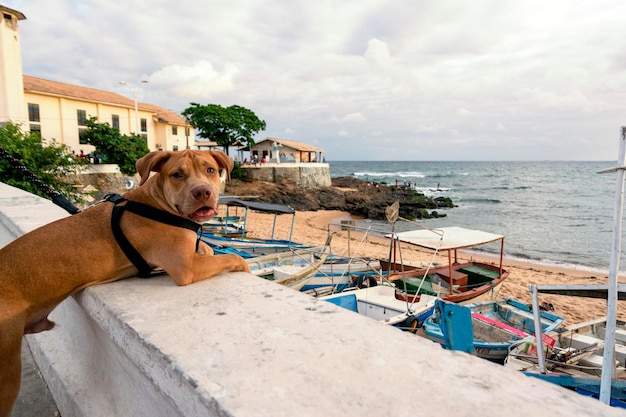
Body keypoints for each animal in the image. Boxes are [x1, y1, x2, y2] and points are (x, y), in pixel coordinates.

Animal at [0, 148, 249, 414]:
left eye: (210, 170)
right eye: (177, 175)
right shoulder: (187, 267)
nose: (202, 192)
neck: (158, 204)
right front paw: (244, 266)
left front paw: (208, 248)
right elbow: (232, 257)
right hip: (7, 370)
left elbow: (210, 249)